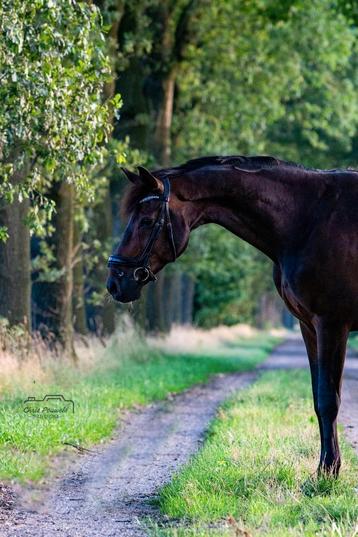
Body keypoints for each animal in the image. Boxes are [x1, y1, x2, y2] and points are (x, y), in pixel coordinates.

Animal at [107, 157, 358, 476]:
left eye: (147, 221)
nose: (115, 282)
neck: (310, 219)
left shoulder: (331, 324)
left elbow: (328, 400)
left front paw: (327, 472)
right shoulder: (308, 327)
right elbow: (317, 398)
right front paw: (326, 468)